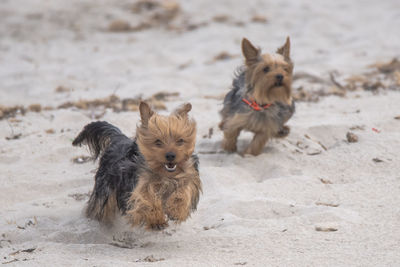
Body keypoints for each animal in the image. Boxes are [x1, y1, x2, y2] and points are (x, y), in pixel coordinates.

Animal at [72, 101, 202, 231]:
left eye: (180, 140)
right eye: (158, 142)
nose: (170, 155)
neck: (164, 174)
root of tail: (119, 138)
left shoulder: (187, 175)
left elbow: (184, 191)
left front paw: (176, 210)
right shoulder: (138, 184)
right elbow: (146, 199)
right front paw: (157, 220)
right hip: (104, 187)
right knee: (99, 207)